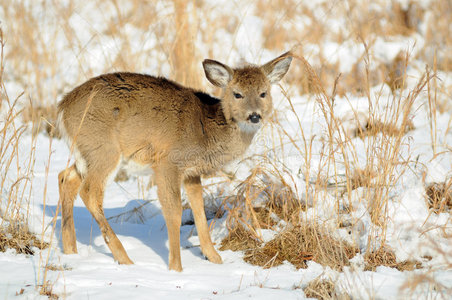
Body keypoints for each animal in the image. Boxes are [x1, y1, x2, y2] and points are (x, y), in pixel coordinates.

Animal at [57, 50, 294, 270]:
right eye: (237, 94)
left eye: (263, 93)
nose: (254, 116)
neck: (206, 131)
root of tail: (62, 107)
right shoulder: (168, 162)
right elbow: (174, 212)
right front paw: (176, 269)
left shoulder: (191, 172)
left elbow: (198, 210)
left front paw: (215, 258)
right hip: (104, 149)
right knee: (89, 191)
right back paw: (124, 258)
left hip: (87, 153)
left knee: (65, 177)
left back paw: (71, 251)